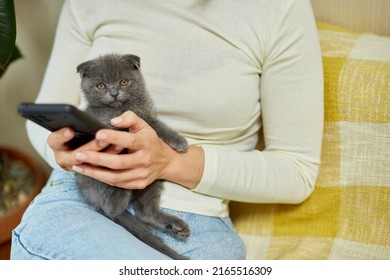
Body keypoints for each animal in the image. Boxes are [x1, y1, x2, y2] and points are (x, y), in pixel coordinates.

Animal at [75, 53, 190, 260]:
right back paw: (118, 194)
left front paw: (177, 139)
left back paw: (175, 225)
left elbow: (157, 125)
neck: (121, 110)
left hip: (152, 182)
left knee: (145, 212)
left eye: (123, 82)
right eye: (101, 86)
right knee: (110, 208)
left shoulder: (146, 117)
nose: (114, 93)